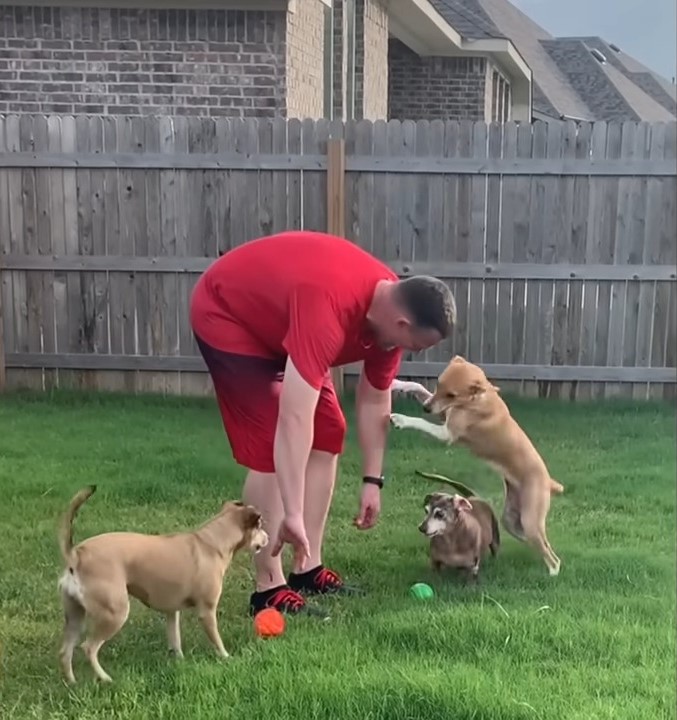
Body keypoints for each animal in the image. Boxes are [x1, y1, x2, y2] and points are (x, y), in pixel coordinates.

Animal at [56, 486, 266, 684]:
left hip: (75, 615)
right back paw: (105, 678)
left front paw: (179, 661)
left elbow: (175, 639)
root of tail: (76, 555)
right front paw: (226, 657)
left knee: (66, 651)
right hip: (115, 613)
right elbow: (217, 640)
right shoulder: (207, 611)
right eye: (260, 526)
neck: (211, 542)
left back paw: (72, 682)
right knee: (88, 647)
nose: (268, 537)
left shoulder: (172, 611)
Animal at [388, 358, 564, 576]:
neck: (476, 400)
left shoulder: (446, 433)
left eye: (452, 394)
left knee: (552, 556)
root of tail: (548, 481)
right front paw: (399, 384)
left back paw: (552, 573)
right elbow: (419, 386)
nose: (426, 409)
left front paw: (401, 419)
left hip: (531, 520)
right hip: (513, 521)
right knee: (540, 542)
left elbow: (420, 422)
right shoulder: (444, 413)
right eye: (438, 384)